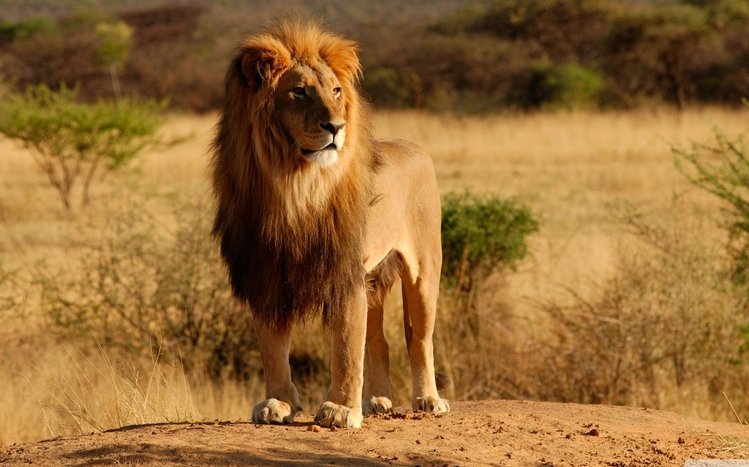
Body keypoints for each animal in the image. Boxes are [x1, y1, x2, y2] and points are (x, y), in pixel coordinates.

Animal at [211, 20, 450, 429]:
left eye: (336, 91)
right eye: (299, 91)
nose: (336, 126)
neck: (294, 186)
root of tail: (415, 147)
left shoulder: (344, 272)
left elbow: (346, 347)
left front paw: (340, 409)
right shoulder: (266, 273)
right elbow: (272, 347)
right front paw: (278, 403)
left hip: (423, 269)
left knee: (419, 338)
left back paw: (428, 399)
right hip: (374, 279)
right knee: (379, 341)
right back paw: (377, 400)